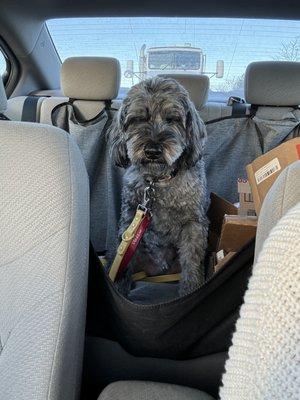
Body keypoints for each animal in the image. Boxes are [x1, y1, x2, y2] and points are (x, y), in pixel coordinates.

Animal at [108, 76, 209, 296]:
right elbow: (123, 260)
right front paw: (119, 285)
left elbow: (192, 259)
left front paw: (191, 288)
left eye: (172, 119)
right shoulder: (130, 218)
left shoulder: (194, 224)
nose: (153, 151)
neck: (158, 181)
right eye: (138, 119)